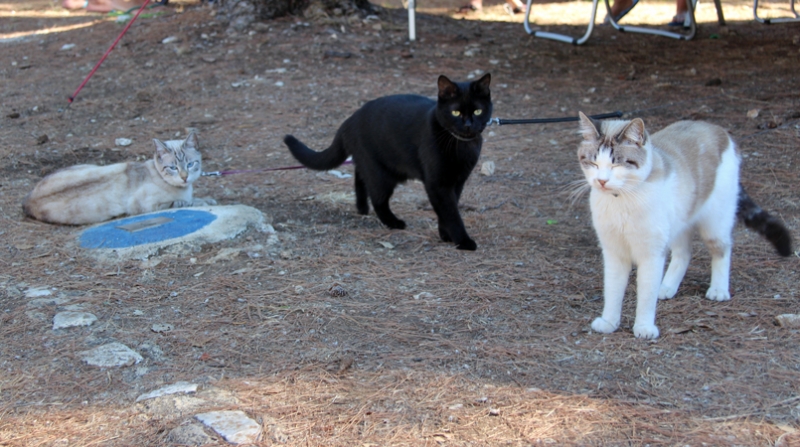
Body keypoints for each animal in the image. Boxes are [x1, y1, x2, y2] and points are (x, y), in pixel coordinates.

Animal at [23, 132, 216, 224]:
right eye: (173, 168)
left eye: (190, 164)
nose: (184, 177)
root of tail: (27, 200)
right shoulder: (145, 206)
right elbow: (185, 202)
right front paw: (204, 202)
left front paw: (208, 199)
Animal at [284, 72, 490, 250]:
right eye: (455, 113)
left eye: (478, 111)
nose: (468, 125)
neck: (460, 145)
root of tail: (349, 119)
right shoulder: (437, 183)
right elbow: (450, 212)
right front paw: (463, 241)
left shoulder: (458, 181)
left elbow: (448, 209)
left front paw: (446, 235)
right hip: (381, 174)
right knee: (378, 199)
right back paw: (393, 222)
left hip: (374, 165)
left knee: (360, 176)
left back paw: (362, 207)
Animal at [580, 112, 792, 340]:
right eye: (593, 163)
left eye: (616, 165)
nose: (601, 181)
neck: (621, 200)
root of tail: (714, 128)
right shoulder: (614, 252)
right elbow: (612, 290)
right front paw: (610, 322)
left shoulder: (651, 254)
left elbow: (645, 294)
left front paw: (644, 326)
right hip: (679, 225)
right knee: (684, 254)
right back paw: (666, 286)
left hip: (714, 225)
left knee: (723, 250)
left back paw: (718, 290)